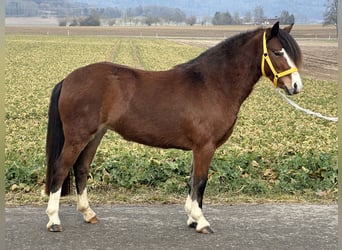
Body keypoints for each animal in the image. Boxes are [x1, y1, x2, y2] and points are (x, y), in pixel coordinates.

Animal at [44, 22, 302, 234]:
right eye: (278, 52)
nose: (296, 87)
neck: (212, 84)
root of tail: (68, 80)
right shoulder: (205, 147)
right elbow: (200, 181)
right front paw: (201, 221)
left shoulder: (199, 148)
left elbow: (193, 182)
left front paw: (192, 219)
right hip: (78, 137)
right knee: (61, 168)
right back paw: (54, 220)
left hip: (94, 136)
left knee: (81, 168)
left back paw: (88, 214)